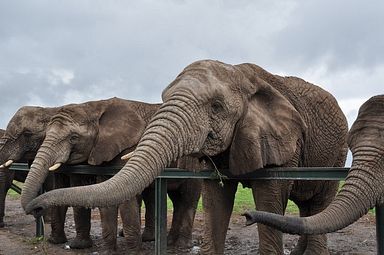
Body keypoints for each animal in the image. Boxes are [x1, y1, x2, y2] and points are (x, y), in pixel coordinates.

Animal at [18, 97, 201, 251]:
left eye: (73, 137)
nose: (36, 210)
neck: (96, 106)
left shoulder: (129, 146)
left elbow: (125, 196)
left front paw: (134, 251)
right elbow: (104, 195)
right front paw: (107, 251)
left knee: (188, 199)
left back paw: (181, 245)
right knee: (177, 200)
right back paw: (169, 242)